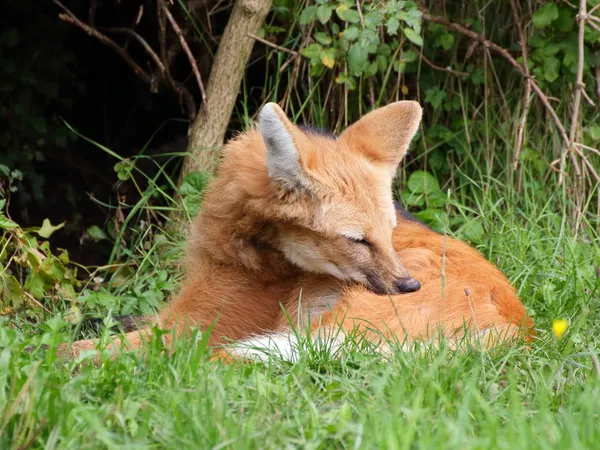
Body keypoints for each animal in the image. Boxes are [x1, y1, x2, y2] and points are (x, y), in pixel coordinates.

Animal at [57, 102, 536, 362]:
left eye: (388, 233)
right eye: (359, 240)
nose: (408, 286)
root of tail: (521, 327)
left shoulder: (193, 325)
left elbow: (81, 349)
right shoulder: (171, 313)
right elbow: (100, 324)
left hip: (333, 325)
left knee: (224, 358)